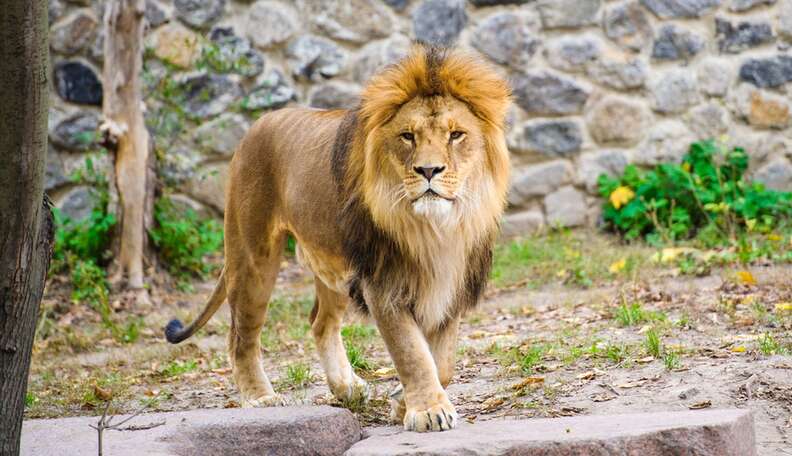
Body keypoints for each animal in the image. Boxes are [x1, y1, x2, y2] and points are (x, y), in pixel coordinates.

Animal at [166, 44, 512, 432]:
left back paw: (347, 388)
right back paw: (260, 397)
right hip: (252, 255)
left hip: (331, 265)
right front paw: (427, 410)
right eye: (408, 136)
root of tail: (255, 126)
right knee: (241, 335)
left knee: (320, 322)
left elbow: (444, 361)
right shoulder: (382, 282)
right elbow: (411, 352)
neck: (435, 229)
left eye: (456, 135)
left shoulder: (453, 279)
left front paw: (401, 402)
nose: (428, 170)